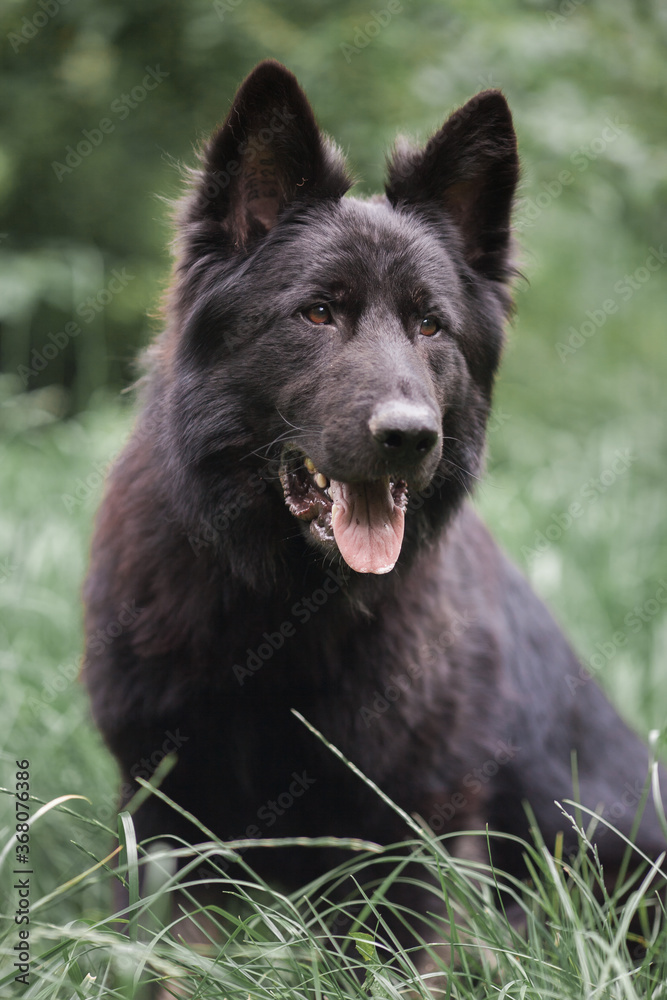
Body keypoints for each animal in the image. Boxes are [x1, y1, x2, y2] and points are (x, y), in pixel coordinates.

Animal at [81, 60, 664, 968]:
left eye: (430, 325)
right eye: (318, 312)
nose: (409, 436)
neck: (282, 608)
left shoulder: (415, 834)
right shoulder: (171, 819)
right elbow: (176, 958)